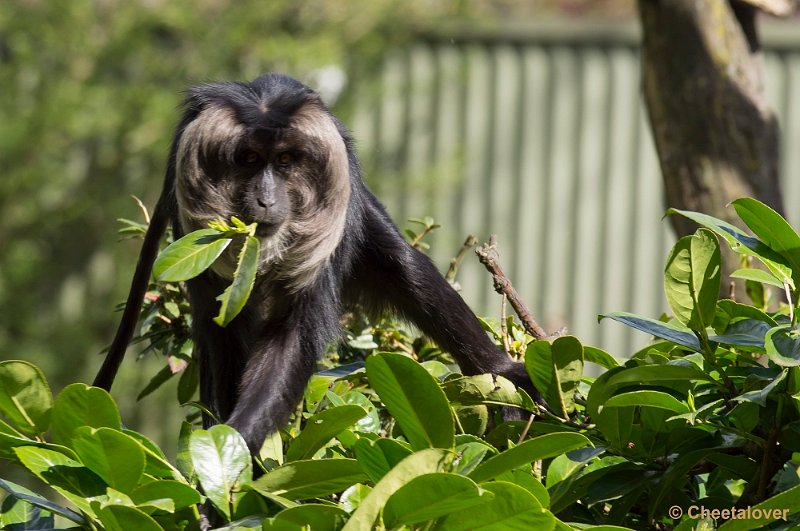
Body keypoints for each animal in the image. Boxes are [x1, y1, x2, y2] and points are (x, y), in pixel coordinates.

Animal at [95, 71, 536, 454]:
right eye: (249, 159)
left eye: (286, 160)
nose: (266, 199)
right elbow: (221, 333)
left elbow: (291, 337)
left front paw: (242, 440)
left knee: (406, 269)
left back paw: (504, 375)